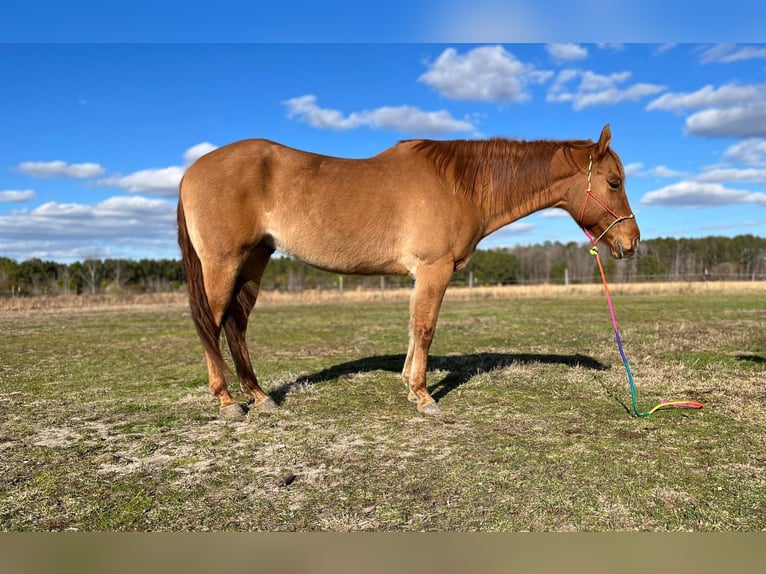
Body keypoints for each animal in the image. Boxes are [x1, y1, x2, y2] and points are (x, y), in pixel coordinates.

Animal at [177, 124, 640, 418]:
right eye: (614, 182)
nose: (631, 241)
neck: (459, 184)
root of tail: (190, 171)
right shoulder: (435, 270)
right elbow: (426, 328)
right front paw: (423, 396)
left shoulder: (420, 276)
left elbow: (413, 326)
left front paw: (409, 386)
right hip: (223, 264)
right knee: (210, 324)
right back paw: (228, 402)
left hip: (255, 260)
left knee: (235, 325)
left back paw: (259, 396)